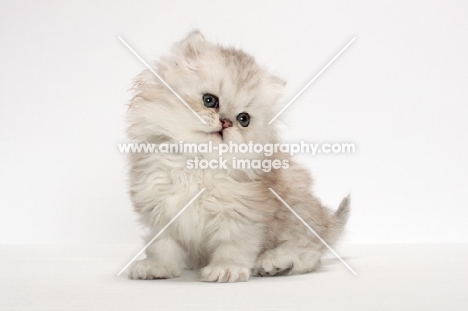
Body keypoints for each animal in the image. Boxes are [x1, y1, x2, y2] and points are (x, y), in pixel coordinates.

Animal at [126, 31, 350, 282]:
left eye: (244, 119)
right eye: (209, 100)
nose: (226, 122)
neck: (199, 162)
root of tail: (328, 224)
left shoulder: (241, 215)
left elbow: (233, 246)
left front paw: (226, 268)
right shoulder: (162, 212)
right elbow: (161, 246)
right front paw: (157, 267)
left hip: (299, 214)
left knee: (309, 250)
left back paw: (277, 262)